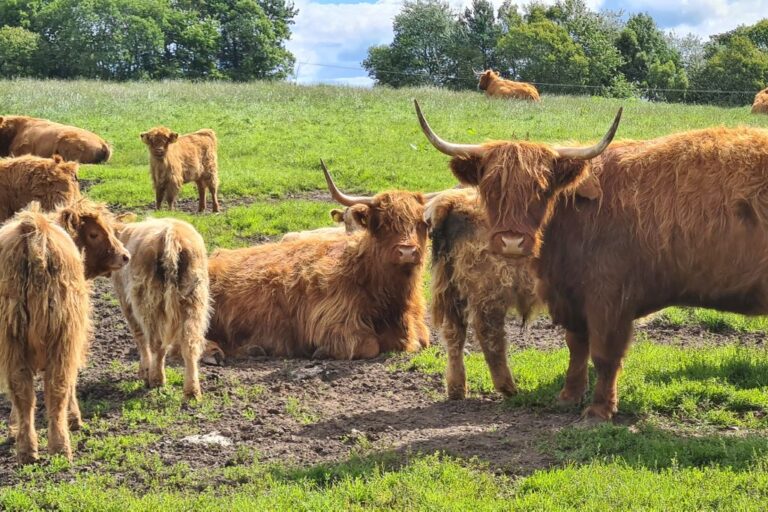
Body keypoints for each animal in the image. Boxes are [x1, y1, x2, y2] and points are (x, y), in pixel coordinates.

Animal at [0, 200, 129, 464]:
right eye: (94, 233)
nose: (125, 256)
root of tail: (34, 230)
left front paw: (12, 429)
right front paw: (74, 419)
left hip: (13, 337)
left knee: (22, 389)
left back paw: (27, 450)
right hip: (62, 333)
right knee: (57, 385)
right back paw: (60, 446)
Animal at [111, 216, 210, 400]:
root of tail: (171, 234)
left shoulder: (126, 301)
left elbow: (139, 337)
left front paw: (144, 372)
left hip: (150, 302)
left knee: (155, 342)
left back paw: (156, 379)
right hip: (194, 298)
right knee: (190, 344)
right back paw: (192, 391)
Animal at [207, 161, 428, 360]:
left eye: (421, 223)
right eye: (382, 223)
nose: (407, 252)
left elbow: (420, 341)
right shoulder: (330, 320)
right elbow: (369, 345)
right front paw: (322, 351)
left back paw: (252, 349)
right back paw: (214, 354)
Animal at [426, 188, 540, 400]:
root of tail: (454, 200)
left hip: (453, 290)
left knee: (454, 334)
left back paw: (457, 389)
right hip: (489, 291)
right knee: (489, 334)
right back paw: (508, 388)